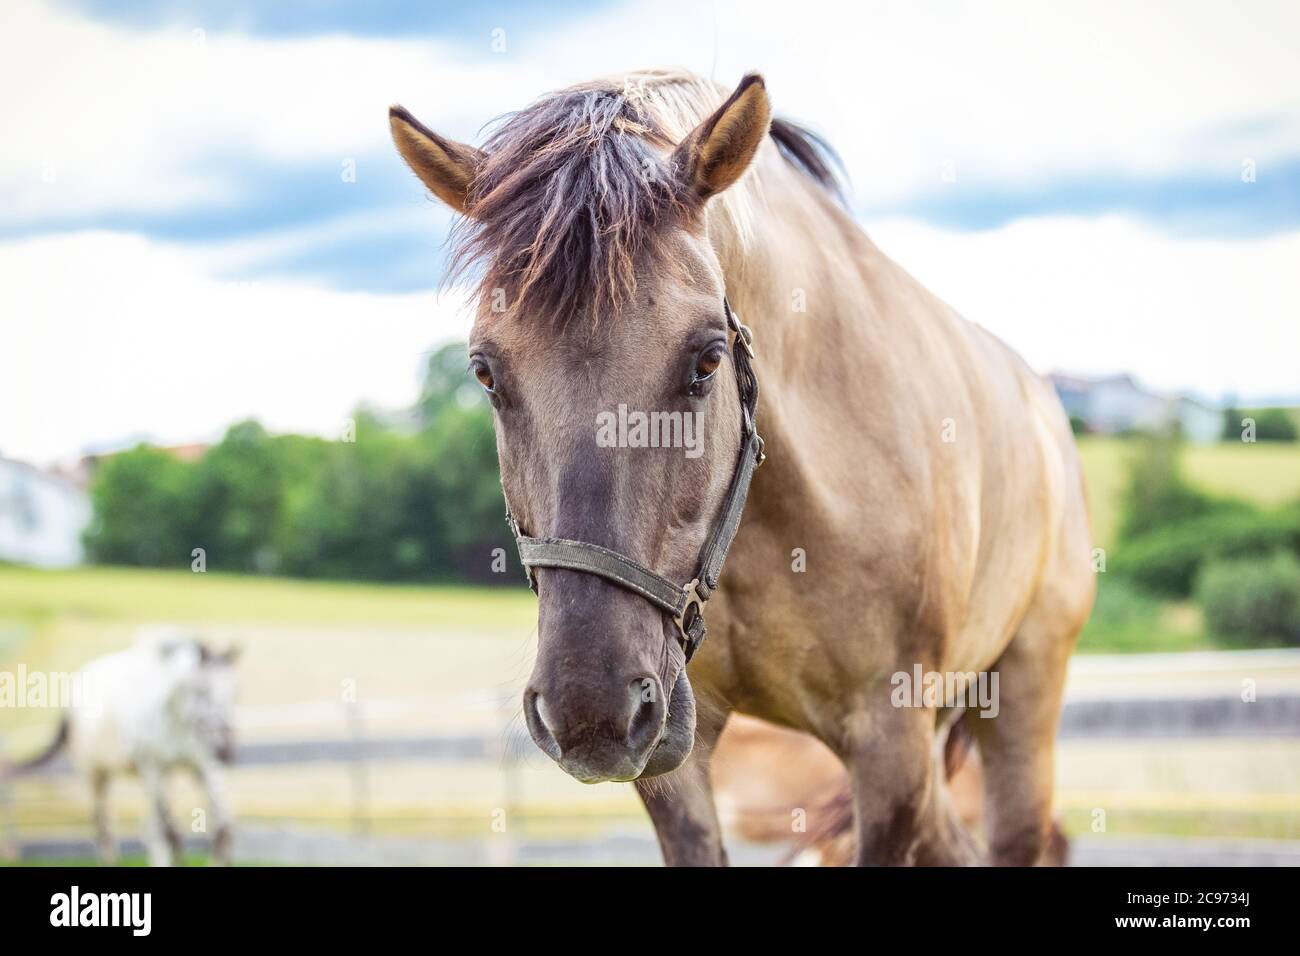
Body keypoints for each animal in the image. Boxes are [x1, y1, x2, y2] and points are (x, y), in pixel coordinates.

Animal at [8, 629, 239, 866]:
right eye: (201, 690)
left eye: (234, 694)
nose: (225, 749)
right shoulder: (152, 768)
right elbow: (165, 830)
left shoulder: (203, 767)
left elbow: (222, 827)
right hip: (93, 774)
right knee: (103, 825)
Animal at [389, 68, 1094, 865]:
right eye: (484, 373)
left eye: (706, 359)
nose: (589, 709)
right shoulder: (678, 756)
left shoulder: (890, 746)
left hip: (1021, 700)